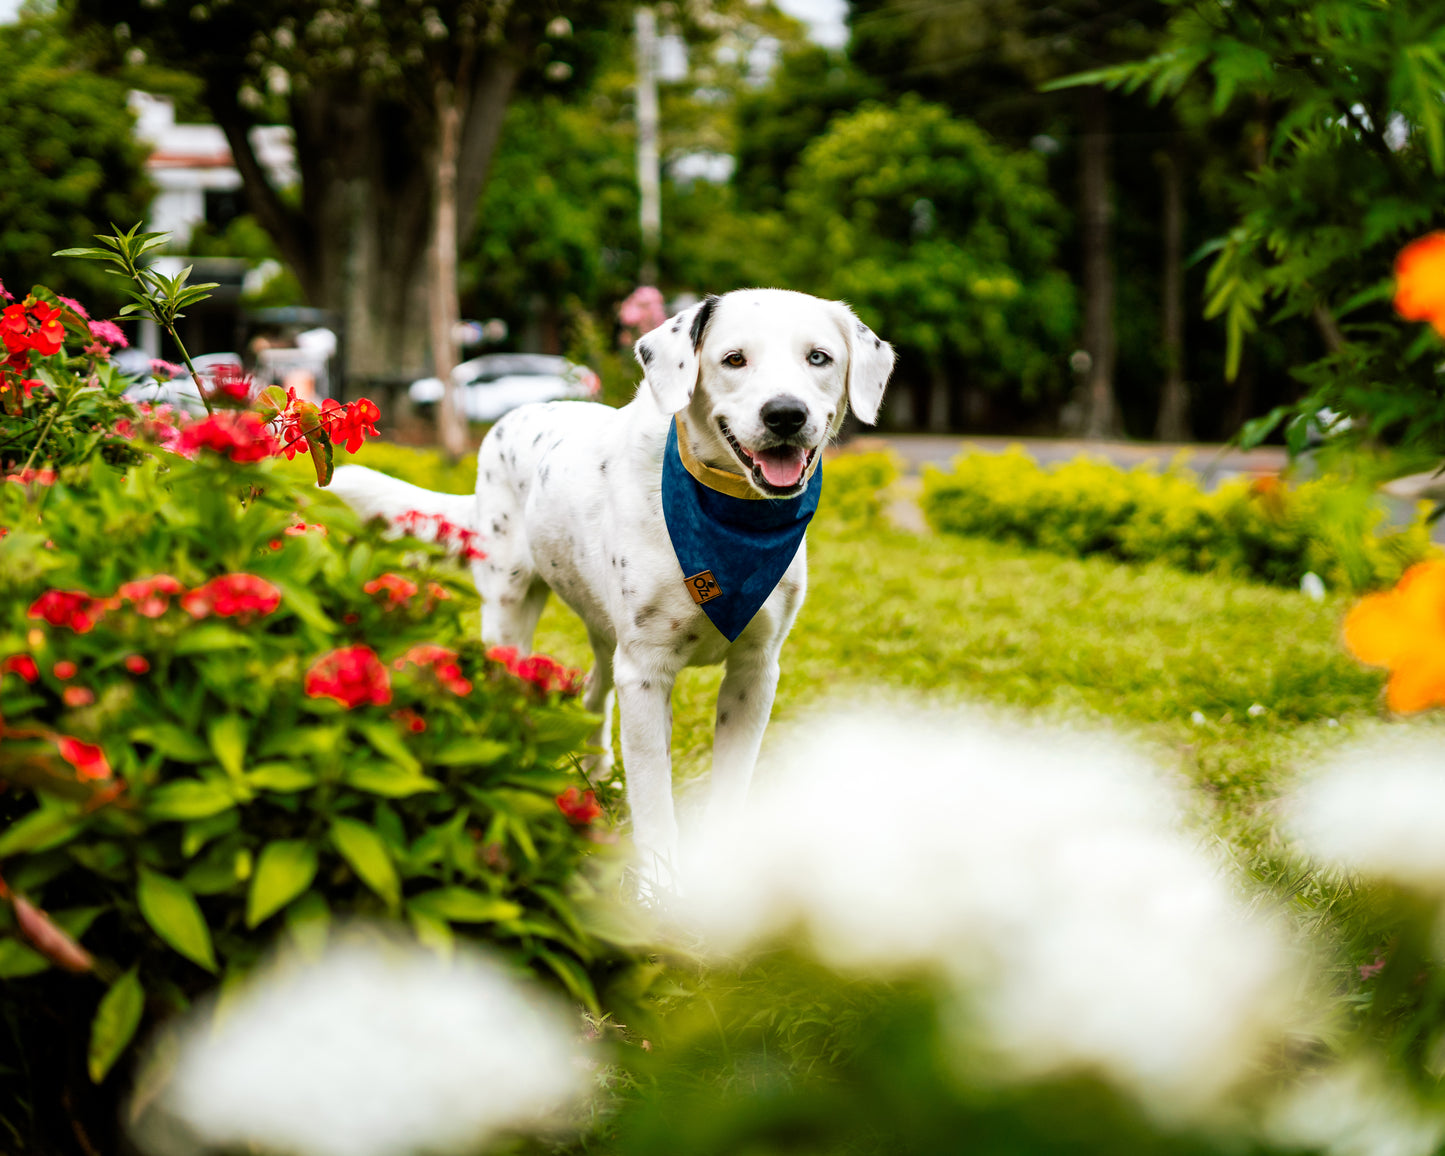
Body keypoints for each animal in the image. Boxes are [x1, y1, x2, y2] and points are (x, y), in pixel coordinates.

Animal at [330, 291, 890, 884]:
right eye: (734, 359)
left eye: (818, 358)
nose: (785, 413)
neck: (729, 514)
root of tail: (517, 414)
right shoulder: (644, 671)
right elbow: (654, 799)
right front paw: (658, 887)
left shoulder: (755, 669)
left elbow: (731, 784)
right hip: (510, 610)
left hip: (603, 626)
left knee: (593, 689)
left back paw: (597, 773)